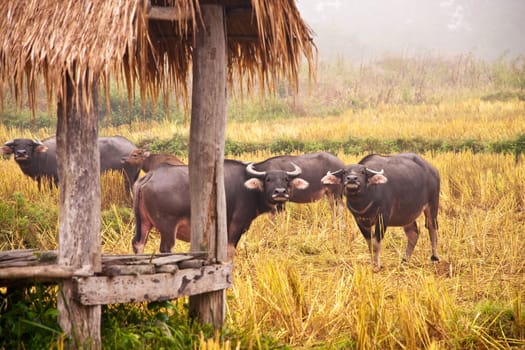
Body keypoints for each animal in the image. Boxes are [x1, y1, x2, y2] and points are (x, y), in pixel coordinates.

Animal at [2, 136, 140, 191]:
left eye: (29, 145)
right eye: (15, 145)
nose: (21, 153)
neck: (41, 157)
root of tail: (133, 147)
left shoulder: (56, 181)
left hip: (127, 178)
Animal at [133, 160, 310, 256]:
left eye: (286, 179)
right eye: (268, 179)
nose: (280, 192)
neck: (249, 188)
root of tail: (152, 175)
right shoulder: (236, 225)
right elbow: (230, 250)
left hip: (144, 223)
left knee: (138, 243)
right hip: (168, 227)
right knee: (166, 248)